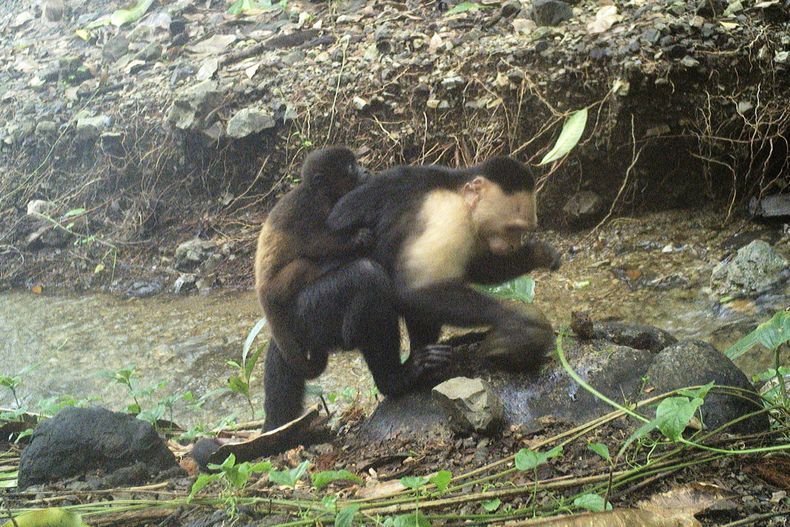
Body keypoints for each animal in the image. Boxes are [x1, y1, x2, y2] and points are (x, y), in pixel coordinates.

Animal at [257, 148, 453, 431]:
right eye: (350, 167)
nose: (365, 170)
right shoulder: (312, 210)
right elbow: (318, 241)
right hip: (298, 301)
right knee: (365, 275)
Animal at [326, 156, 561, 371]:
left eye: (523, 230)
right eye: (513, 228)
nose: (514, 246)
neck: (457, 192)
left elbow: (477, 269)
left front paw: (539, 253)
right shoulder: (449, 217)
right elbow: (416, 290)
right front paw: (519, 321)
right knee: (373, 280)